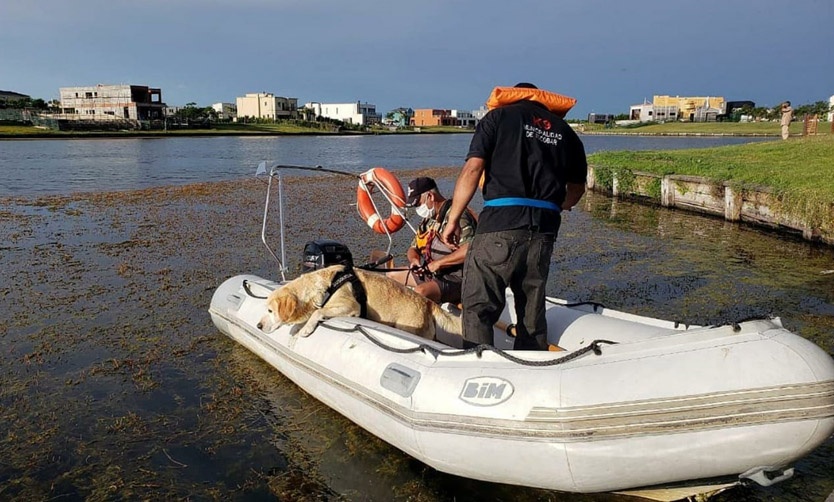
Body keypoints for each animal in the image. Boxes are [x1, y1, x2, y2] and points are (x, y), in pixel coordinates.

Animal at [255, 264, 462, 340]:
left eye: (271, 311)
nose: (258, 326)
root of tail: (428, 303)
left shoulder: (349, 306)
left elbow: (317, 312)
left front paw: (305, 329)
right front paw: (299, 327)